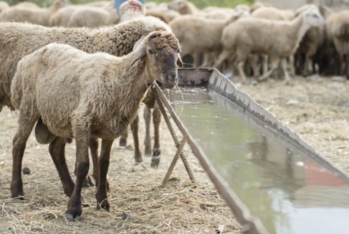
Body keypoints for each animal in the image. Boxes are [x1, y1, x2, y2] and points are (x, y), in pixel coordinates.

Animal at [9, 30, 181, 220]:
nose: (172, 78)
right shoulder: (82, 121)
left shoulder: (110, 129)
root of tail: (25, 60)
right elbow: (83, 165)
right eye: (151, 51)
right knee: (18, 143)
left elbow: (104, 164)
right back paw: (17, 191)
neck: (119, 78)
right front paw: (73, 210)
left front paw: (102, 202)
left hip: (60, 117)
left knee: (55, 150)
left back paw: (70, 189)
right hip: (29, 107)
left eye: (177, 52)